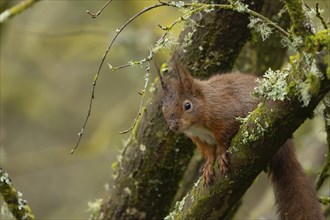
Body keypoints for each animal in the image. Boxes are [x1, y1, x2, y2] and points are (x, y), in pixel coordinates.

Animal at [159, 62, 324, 220]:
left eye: (187, 106)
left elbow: (224, 139)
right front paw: (207, 167)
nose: (173, 126)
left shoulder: (225, 116)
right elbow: (209, 153)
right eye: (163, 109)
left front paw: (221, 155)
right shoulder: (201, 140)